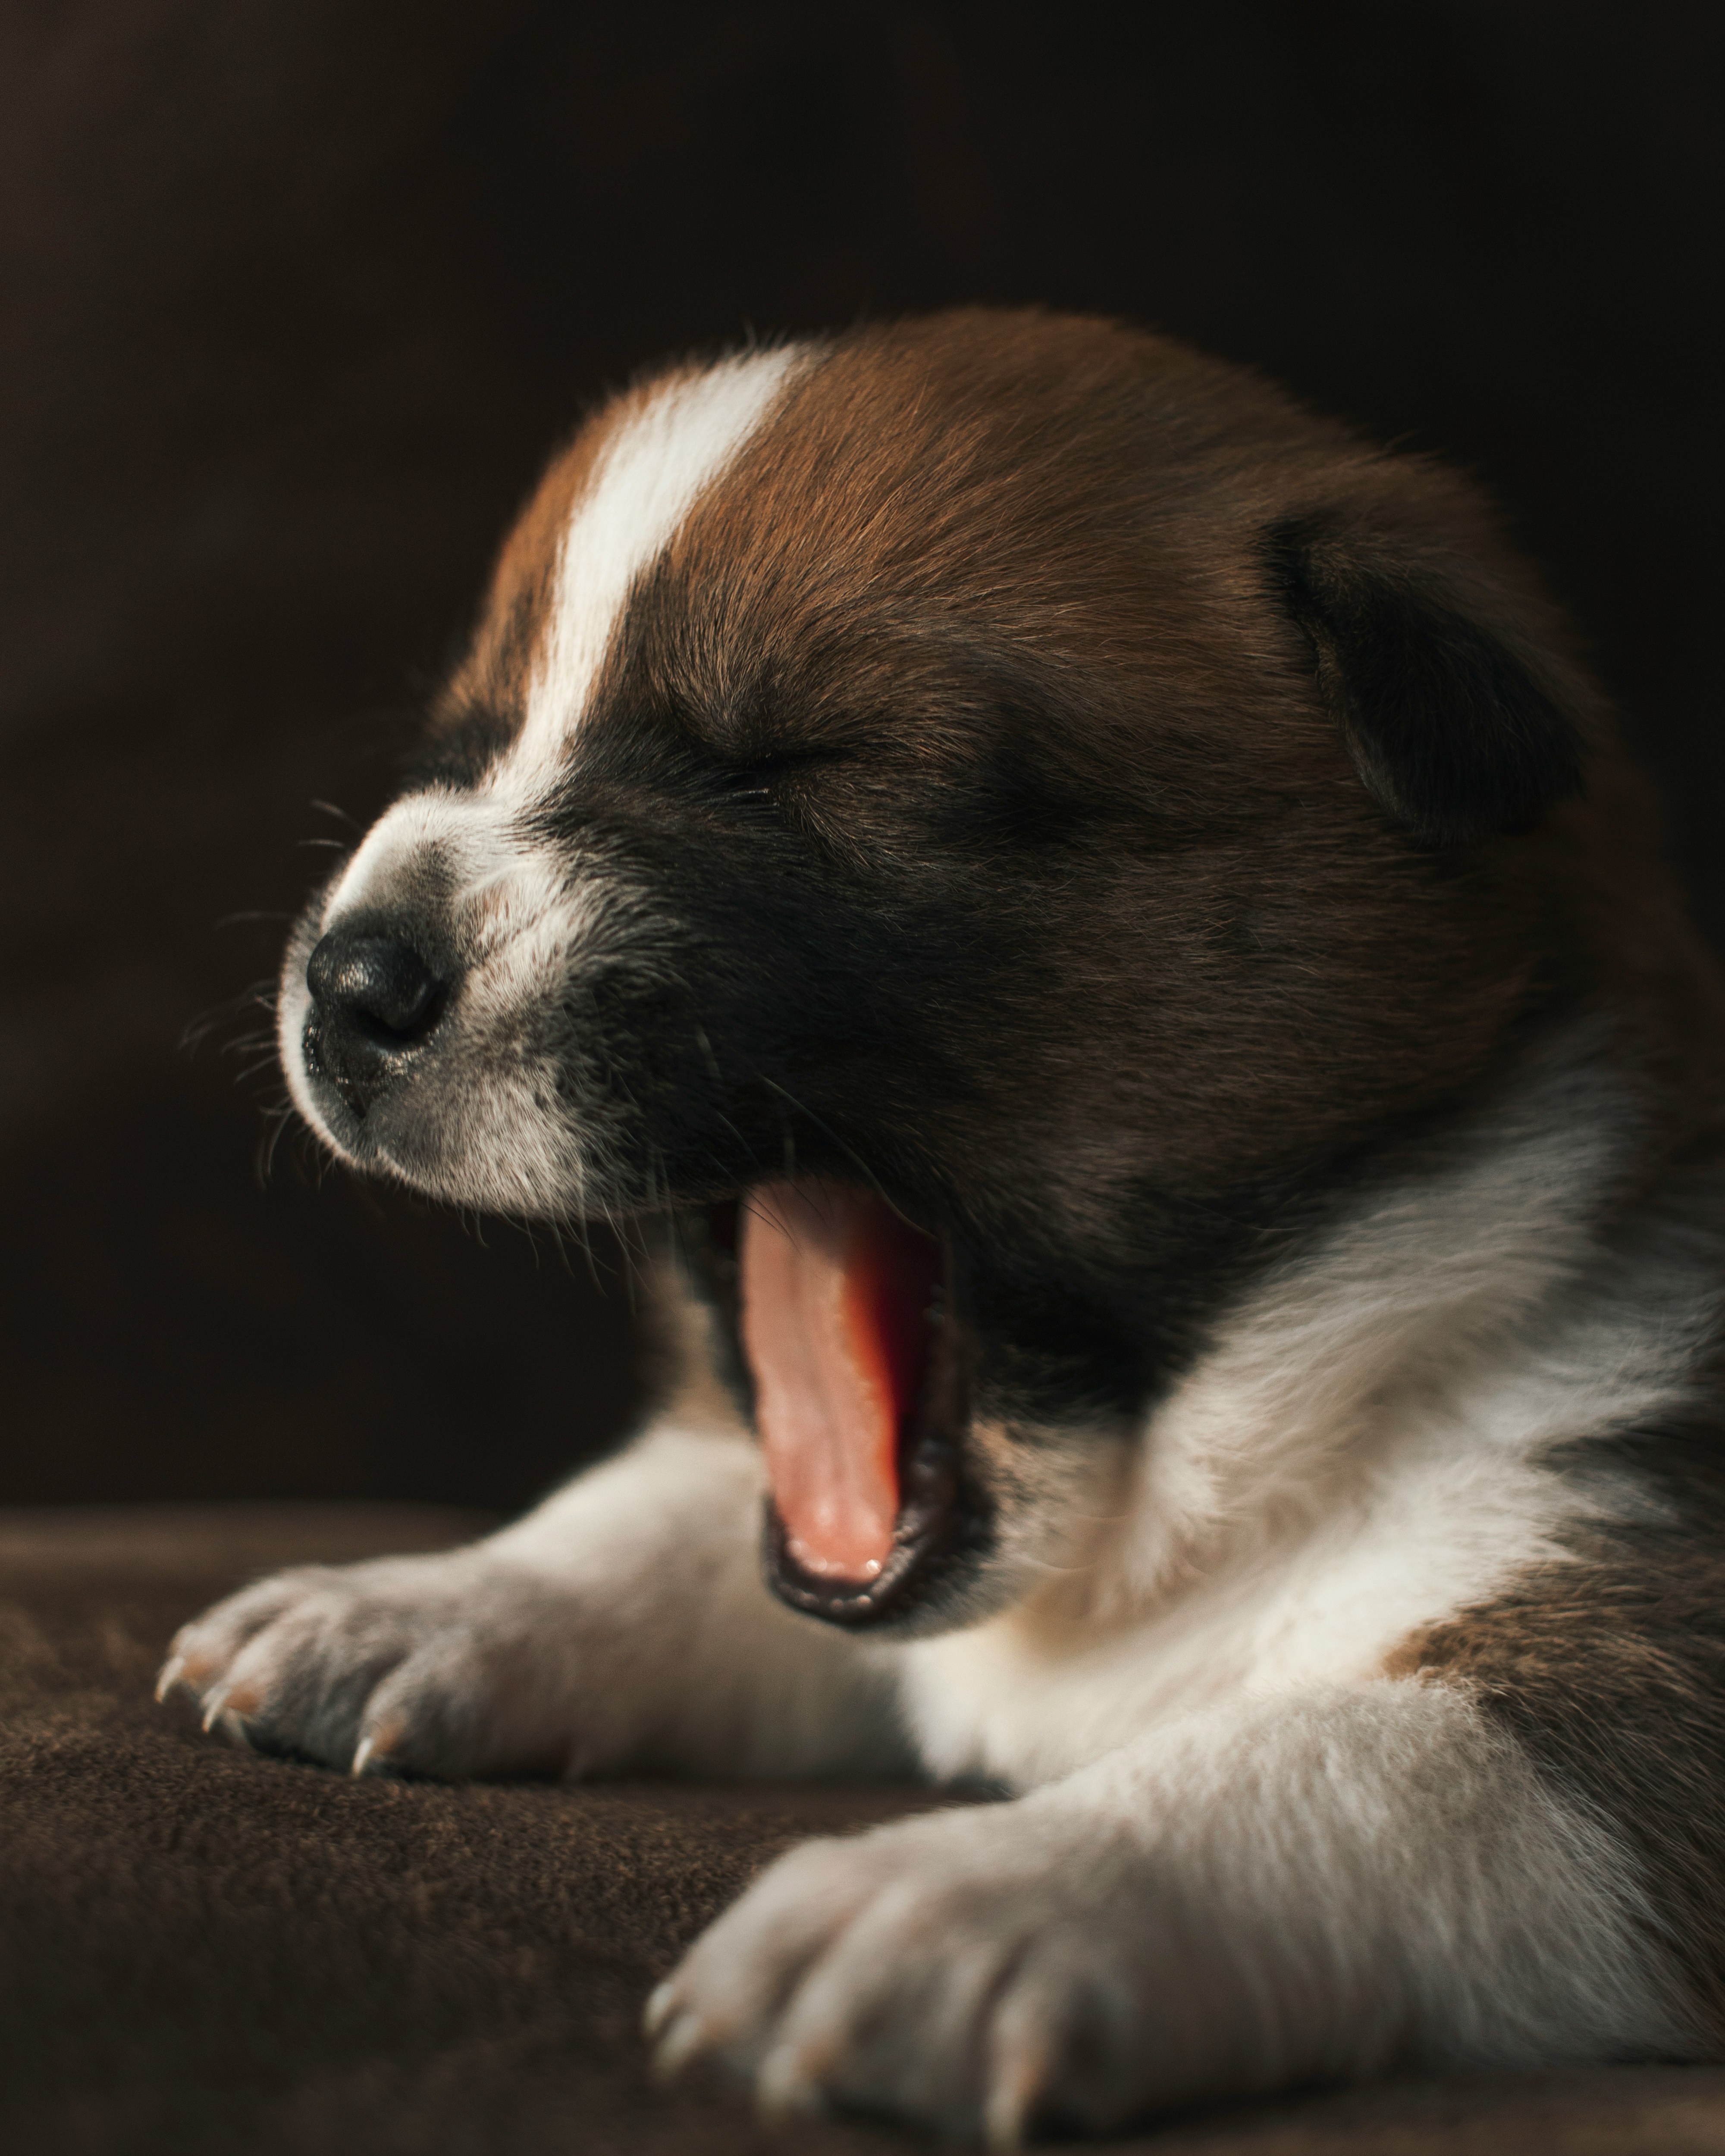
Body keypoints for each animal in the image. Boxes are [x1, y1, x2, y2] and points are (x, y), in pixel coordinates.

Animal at [158, 308, 1725, 2139]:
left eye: (795, 767)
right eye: (470, 742)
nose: (349, 982)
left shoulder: (1653, 1636)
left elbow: (1362, 1764)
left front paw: (971, 1900)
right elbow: (662, 1512)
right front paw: (414, 1603)